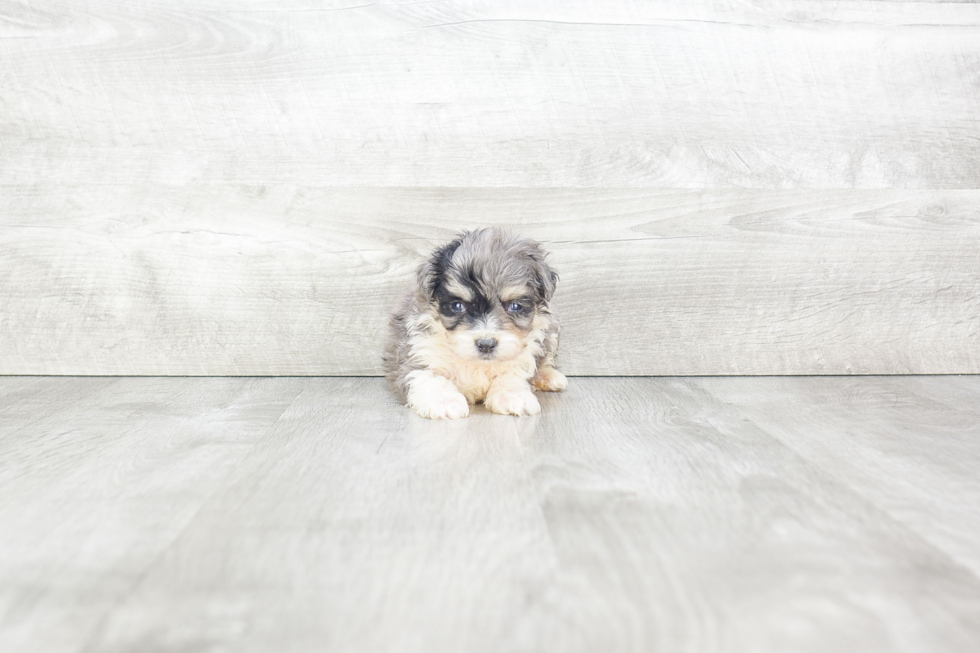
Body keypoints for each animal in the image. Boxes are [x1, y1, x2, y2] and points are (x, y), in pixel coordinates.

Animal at [382, 227, 568, 420]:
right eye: (457, 306)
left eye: (515, 306)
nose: (486, 344)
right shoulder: (419, 353)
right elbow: (430, 377)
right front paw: (444, 401)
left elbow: (511, 373)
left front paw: (513, 396)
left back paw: (549, 376)